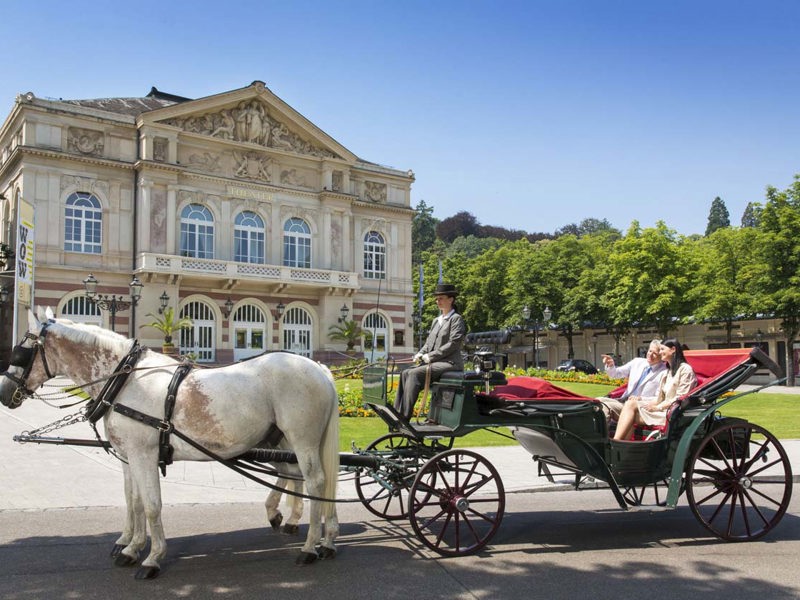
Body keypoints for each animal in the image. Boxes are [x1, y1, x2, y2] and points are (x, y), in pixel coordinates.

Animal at [0, 310, 340, 576]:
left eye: (22, 350)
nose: (4, 393)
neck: (124, 380)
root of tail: (320, 369)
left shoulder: (143, 454)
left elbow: (151, 506)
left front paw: (151, 557)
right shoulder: (129, 455)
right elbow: (134, 501)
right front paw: (130, 546)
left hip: (302, 439)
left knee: (315, 481)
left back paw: (310, 547)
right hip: (281, 440)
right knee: (300, 476)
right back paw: (324, 538)